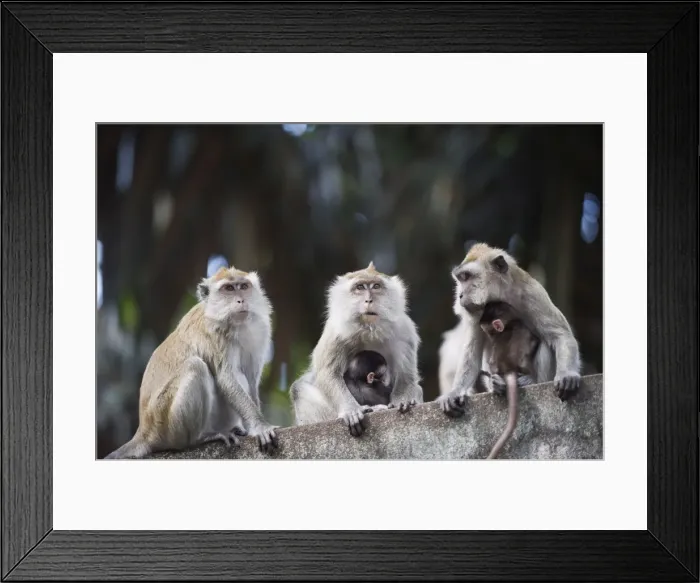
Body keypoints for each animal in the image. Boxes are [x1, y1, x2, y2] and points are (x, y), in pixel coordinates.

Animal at [105, 265, 279, 459]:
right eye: (228, 288)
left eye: (243, 286)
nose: (241, 300)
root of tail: (144, 429)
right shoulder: (215, 334)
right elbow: (227, 378)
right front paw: (261, 427)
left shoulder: (259, 331)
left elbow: (250, 378)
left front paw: (257, 425)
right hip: (166, 422)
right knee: (195, 366)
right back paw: (199, 439)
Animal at [290, 261, 423, 437]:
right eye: (360, 287)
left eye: (376, 286)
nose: (368, 300)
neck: (369, 330)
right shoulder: (335, 332)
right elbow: (328, 373)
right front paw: (350, 410)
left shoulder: (405, 331)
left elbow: (407, 375)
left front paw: (403, 399)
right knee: (299, 389)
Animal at [437, 242, 581, 417]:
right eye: (460, 279)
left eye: (467, 276)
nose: (460, 295)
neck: (500, 296)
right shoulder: (476, 314)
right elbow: (472, 351)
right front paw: (456, 391)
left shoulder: (532, 295)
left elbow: (560, 335)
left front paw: (567, 374)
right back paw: (497, 384)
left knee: (545, 343)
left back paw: (530, 381)